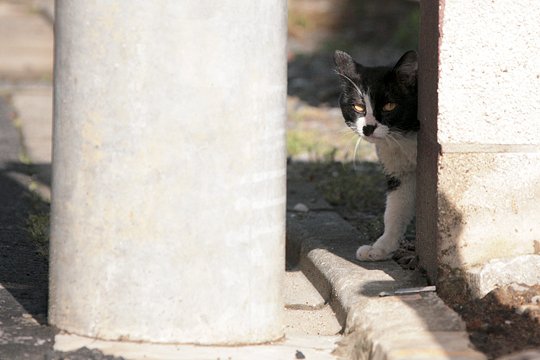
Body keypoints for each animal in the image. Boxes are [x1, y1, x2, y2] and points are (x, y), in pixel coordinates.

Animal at [334, 49, 422, 260]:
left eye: (389, 106)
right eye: (358, 107)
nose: (368, 127)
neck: (403, 139)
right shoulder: (400, 172)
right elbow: (395, 209)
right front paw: (380, 248)